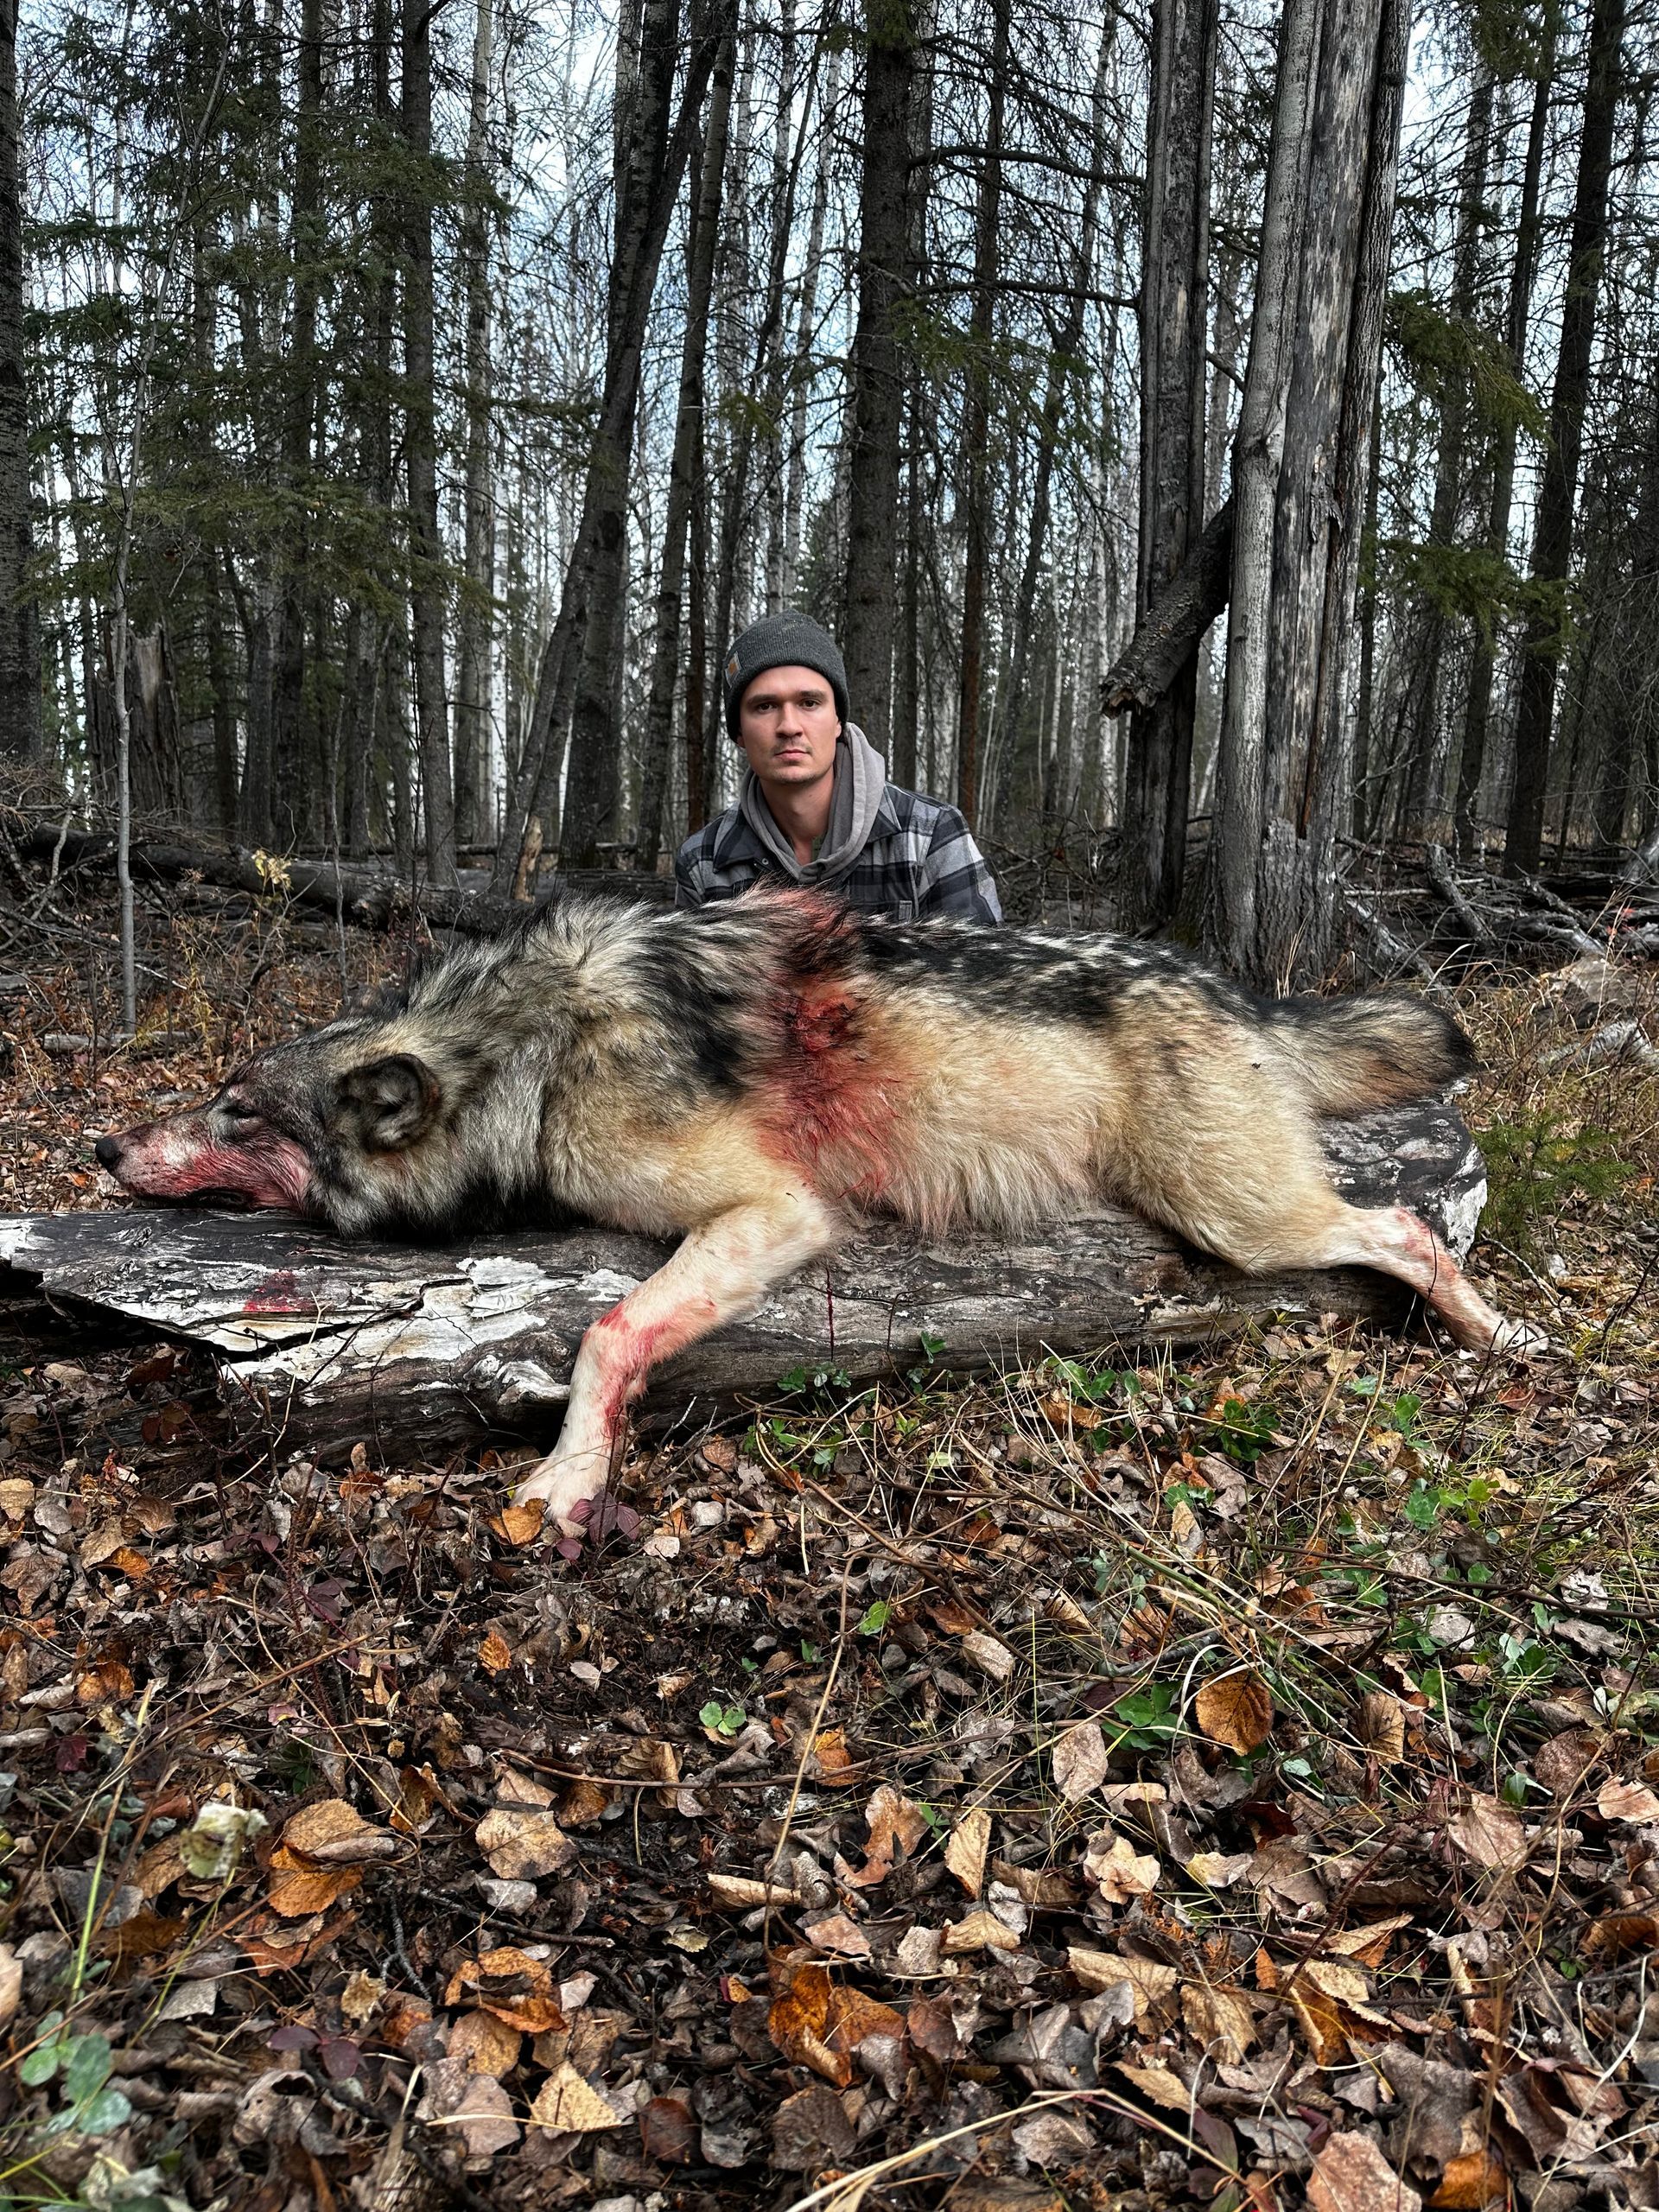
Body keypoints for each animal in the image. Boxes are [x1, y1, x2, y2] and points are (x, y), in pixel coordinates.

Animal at [95, 885, 1536, 1537]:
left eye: (236, 1110)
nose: (105, 1144)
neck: (532, 1052)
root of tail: (1247, 997)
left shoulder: (774, 1211)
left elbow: (604, 1337)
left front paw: (572, 1477)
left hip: (1236, 1216)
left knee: (1407, 1229)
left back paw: (1493, 1336)